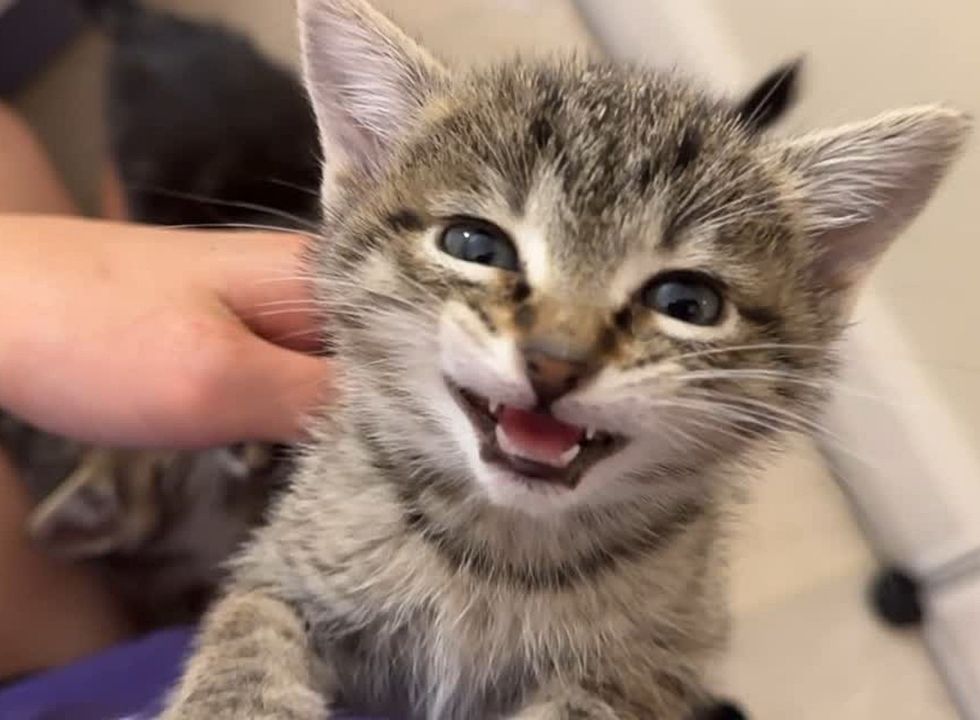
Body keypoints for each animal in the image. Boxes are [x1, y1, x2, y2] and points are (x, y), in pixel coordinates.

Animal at [165, 1, 968, 720]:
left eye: (688, 302)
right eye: (473, 245)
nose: (556, 361)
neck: (498, 549)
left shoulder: (660, 657)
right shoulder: (286, 560)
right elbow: (249, 624)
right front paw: (233, 703)